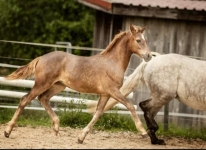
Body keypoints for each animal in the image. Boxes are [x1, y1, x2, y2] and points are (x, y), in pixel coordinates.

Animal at [2, 23, 151, 143]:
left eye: (145, 40)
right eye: (138, 40)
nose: (149, 55)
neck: (112, 63)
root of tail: (41, 58)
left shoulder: (105, 94)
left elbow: (98, 114)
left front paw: (81, 138)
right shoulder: (113, 91)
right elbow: (130, 106)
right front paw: (144, 132)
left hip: (58, 86)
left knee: (43, 98)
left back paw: (56, 127)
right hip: (42, 84)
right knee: (25, 99)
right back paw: (7, 131)